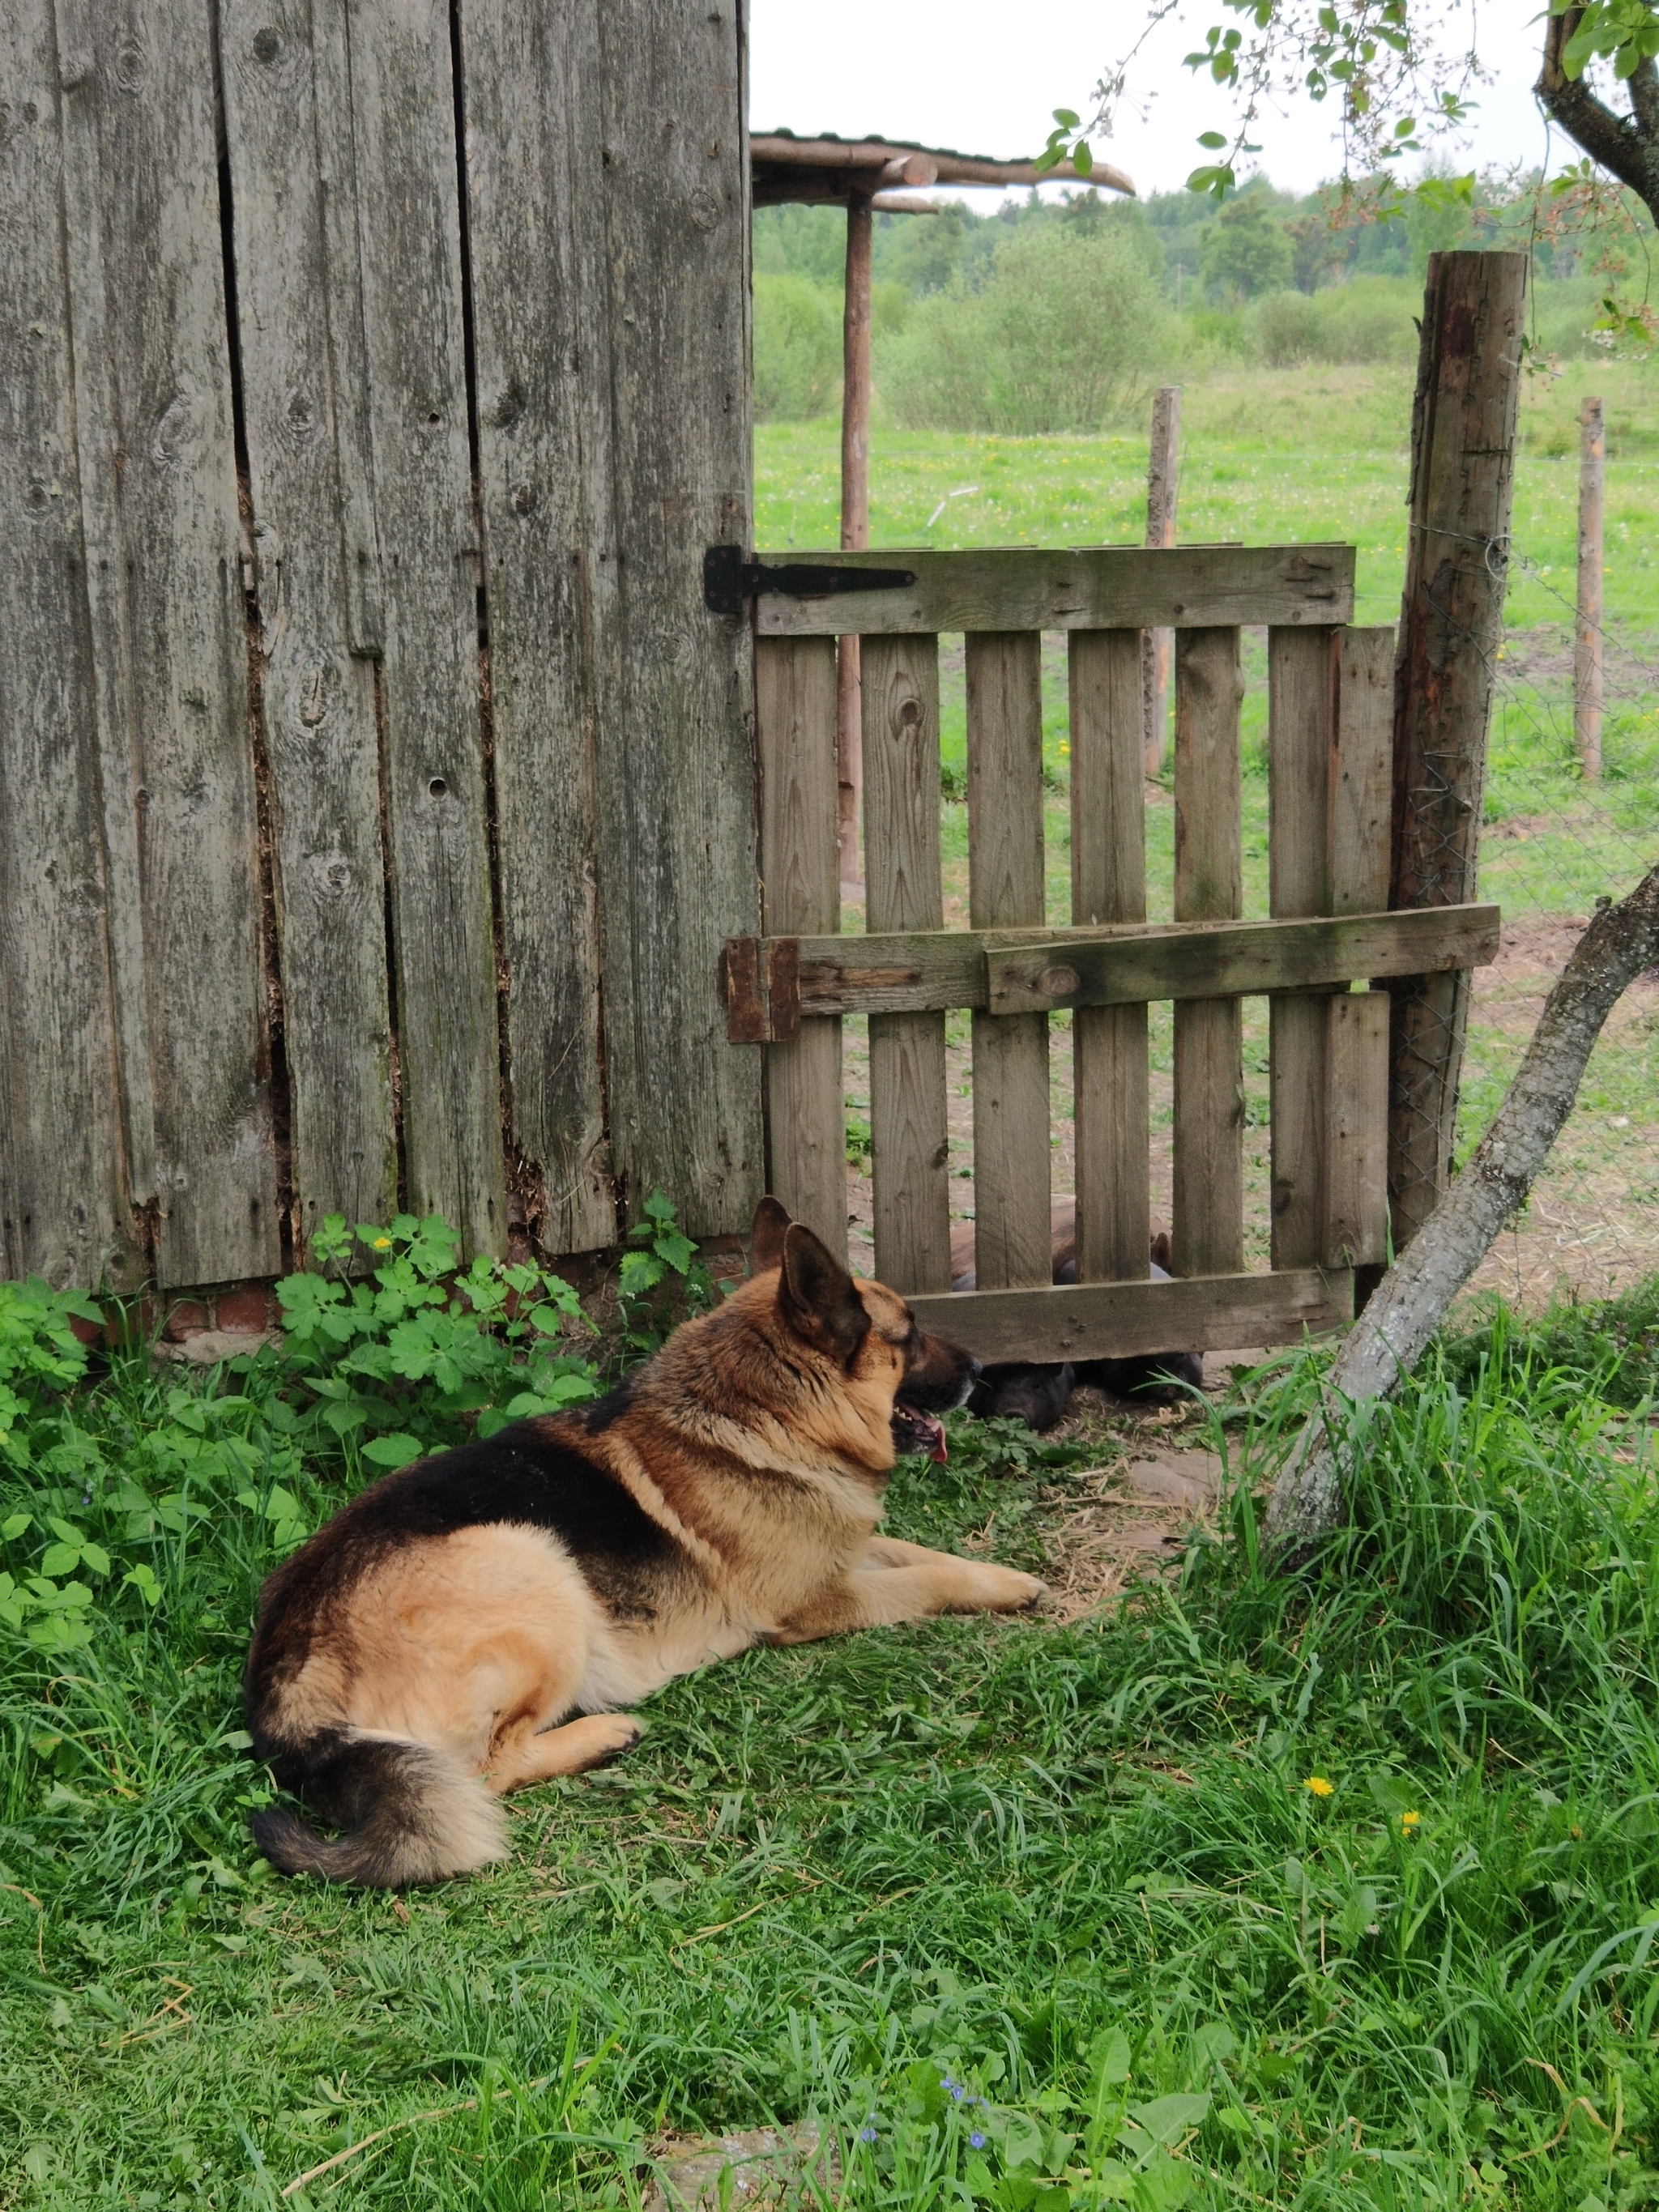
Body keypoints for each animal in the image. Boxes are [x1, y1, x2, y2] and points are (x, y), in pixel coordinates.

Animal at [243, 1203, 1052, 1893]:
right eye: (908, 1336)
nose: (982, 1370)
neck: (767, 1413)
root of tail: (288, 1679)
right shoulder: (821, 1599)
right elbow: (921, 1584)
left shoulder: (844, 1551)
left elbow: (927, 1553)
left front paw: (1011, 1576)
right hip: (537, 1568)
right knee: (485, 1768)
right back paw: (604, 1733)